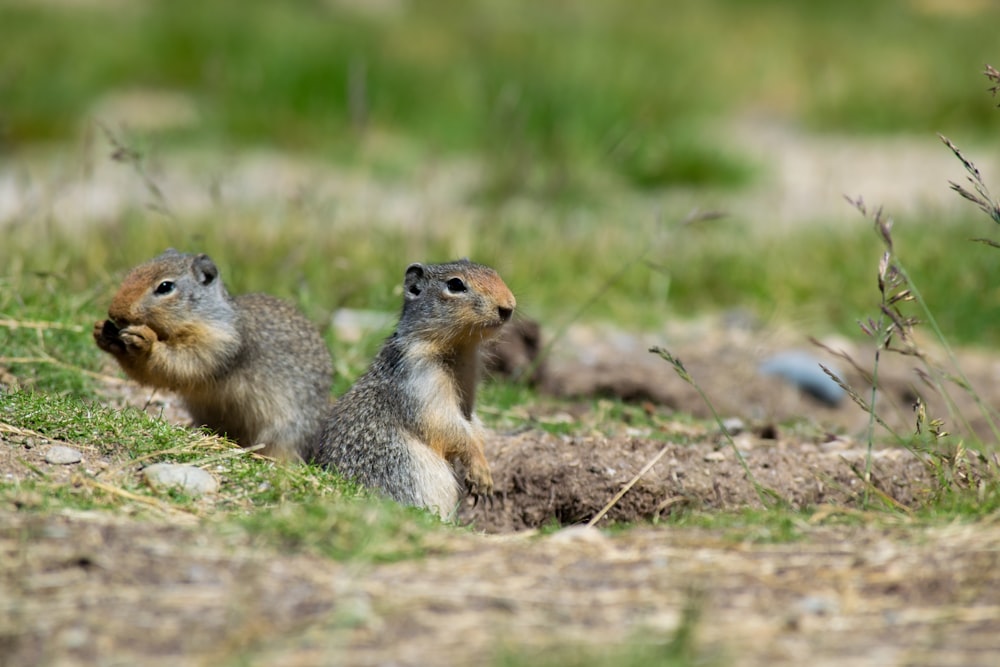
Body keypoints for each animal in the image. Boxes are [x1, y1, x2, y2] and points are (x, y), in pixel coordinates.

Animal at [92, 248, 332, 462]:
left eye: (165, 286)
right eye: (133, 272)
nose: (114, 312)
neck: (203, 316)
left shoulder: (217, 342)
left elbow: (180, 364)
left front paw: (145, 339)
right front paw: (103, 332)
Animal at [310, 258, 516, 520]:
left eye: (493, 272)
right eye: (455, 284)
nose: (508, 306)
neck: (459, 350)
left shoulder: (468, 395)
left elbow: (473, 425)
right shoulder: (422, 383)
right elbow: (447, 426)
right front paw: (481, 472)